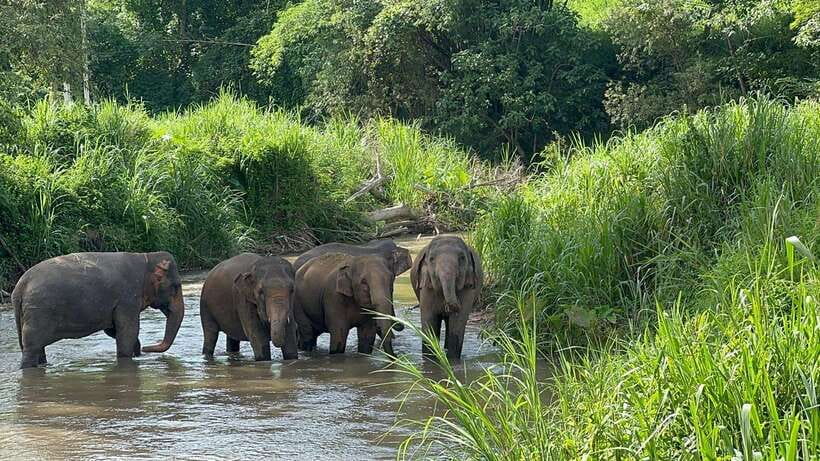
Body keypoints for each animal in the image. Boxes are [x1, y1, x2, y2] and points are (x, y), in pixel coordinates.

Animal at [11, 251, 185, 369]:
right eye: (176, 286)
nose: (146, 348)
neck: (147, 257)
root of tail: (20, 286)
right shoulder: (128, 297)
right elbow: (128, 331)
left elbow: (114, 330)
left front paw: (137, 352)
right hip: (39, 313)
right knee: (32, 347)